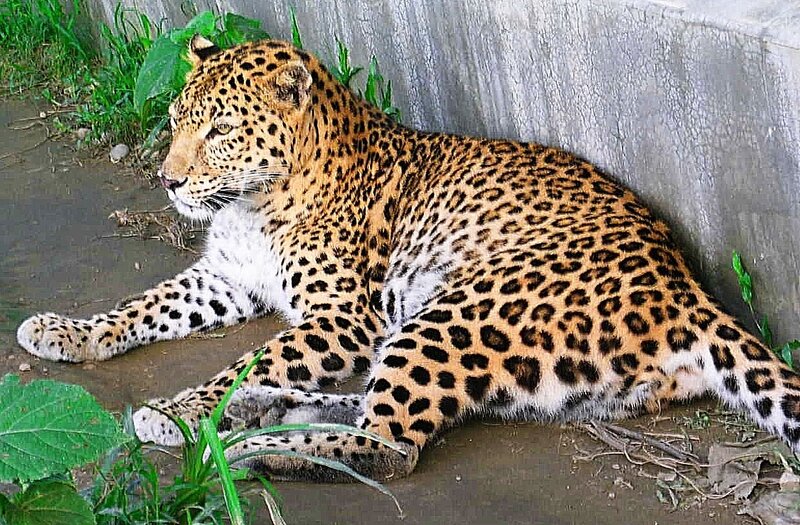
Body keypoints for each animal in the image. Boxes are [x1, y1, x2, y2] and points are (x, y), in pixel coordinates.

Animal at [16, 35, 800, 483]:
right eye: (178, 121)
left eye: (220, 131)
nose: (169, 181)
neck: (251, 205)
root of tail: (685, 286)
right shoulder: (226, 278)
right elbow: (143, 306)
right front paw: (67, 330)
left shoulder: (342, 316)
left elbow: (252, 355)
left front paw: (174, 413)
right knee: (374, 409)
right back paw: (262, 414)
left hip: (458, 310)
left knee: (390, 443)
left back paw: (253, 446)